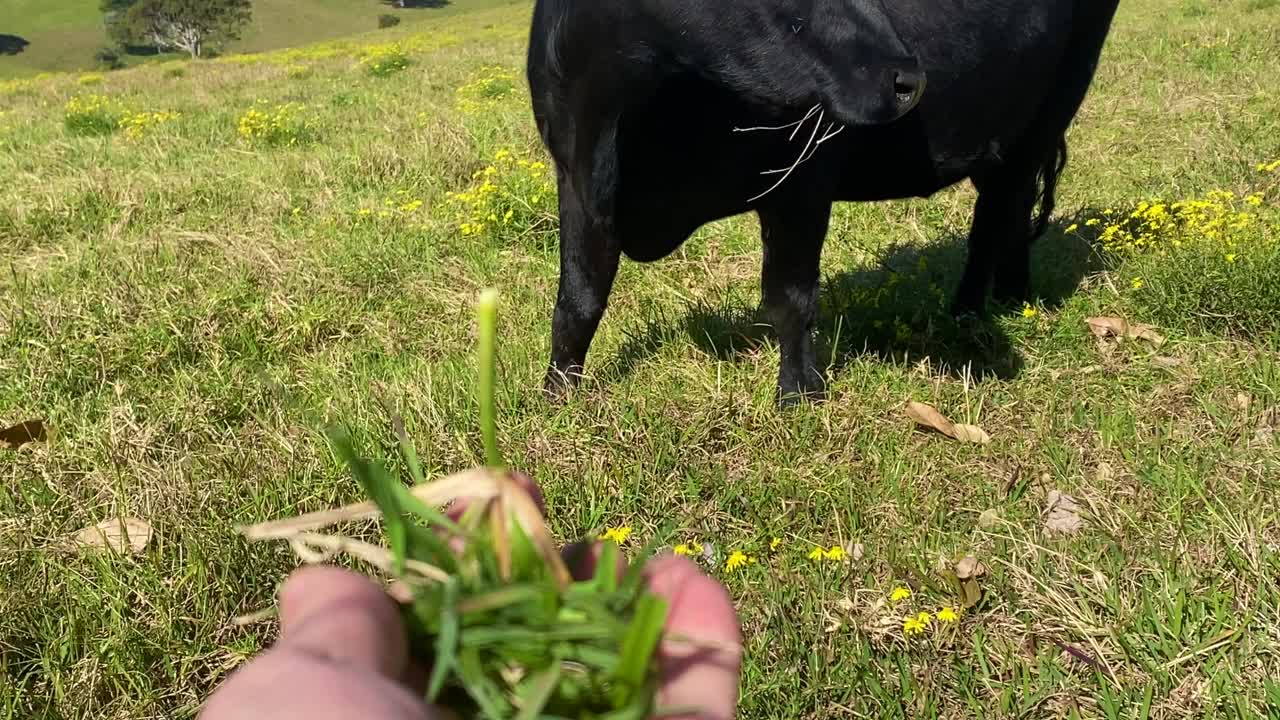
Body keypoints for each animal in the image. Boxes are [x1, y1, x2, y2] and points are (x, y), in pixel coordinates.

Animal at [529, 0, 1121, 399]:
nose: (910, 80)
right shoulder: (576, 180)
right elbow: (578, 300)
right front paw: (558, 396)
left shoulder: (806, 175)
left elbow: (790, 297)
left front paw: (798, 395)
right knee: (1011, 208)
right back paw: (1012, 295)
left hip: (1055, 101)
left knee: (999, 211)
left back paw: (972, 312)